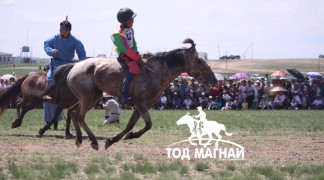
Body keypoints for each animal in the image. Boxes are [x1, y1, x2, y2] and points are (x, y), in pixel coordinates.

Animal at [67, 38, 216, 150]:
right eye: (199, 60)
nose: (213, 80)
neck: (154, 72)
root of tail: (74, 67)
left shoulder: (142, 105)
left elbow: (131, 125)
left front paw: (116, 139)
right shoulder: (141, 103)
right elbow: (148, 124)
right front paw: (127, 136)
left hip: (91, 98)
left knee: (73, 112)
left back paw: (79, 139)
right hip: (88, 98)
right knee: (80, 116)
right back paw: (93, 141)